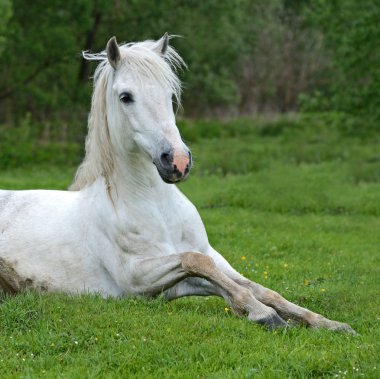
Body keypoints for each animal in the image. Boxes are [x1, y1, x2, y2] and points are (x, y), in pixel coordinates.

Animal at [0, 35, 356, 332]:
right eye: (126, 97)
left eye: (171, 96)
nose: (178, 161)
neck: (156, 207)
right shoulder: (136, 278)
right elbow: (198, 263)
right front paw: (261, 314)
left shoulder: (190, 273)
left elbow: (254, 286)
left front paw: (328, 323)